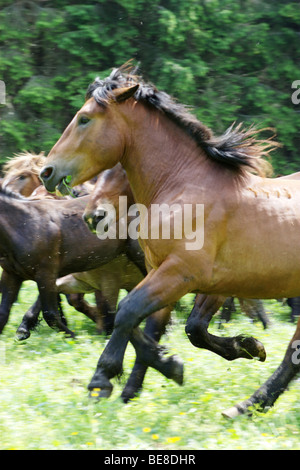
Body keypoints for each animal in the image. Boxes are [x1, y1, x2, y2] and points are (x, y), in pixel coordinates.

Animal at [40, 63, 300, 414]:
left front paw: (102, 380)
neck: (183, 186)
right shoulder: (179, 277)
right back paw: (247, 405)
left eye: (84, 119)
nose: (46, 172)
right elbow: (159, 327)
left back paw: (248, 405)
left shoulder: (181, 273)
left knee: (293, 353)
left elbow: (128, 312)